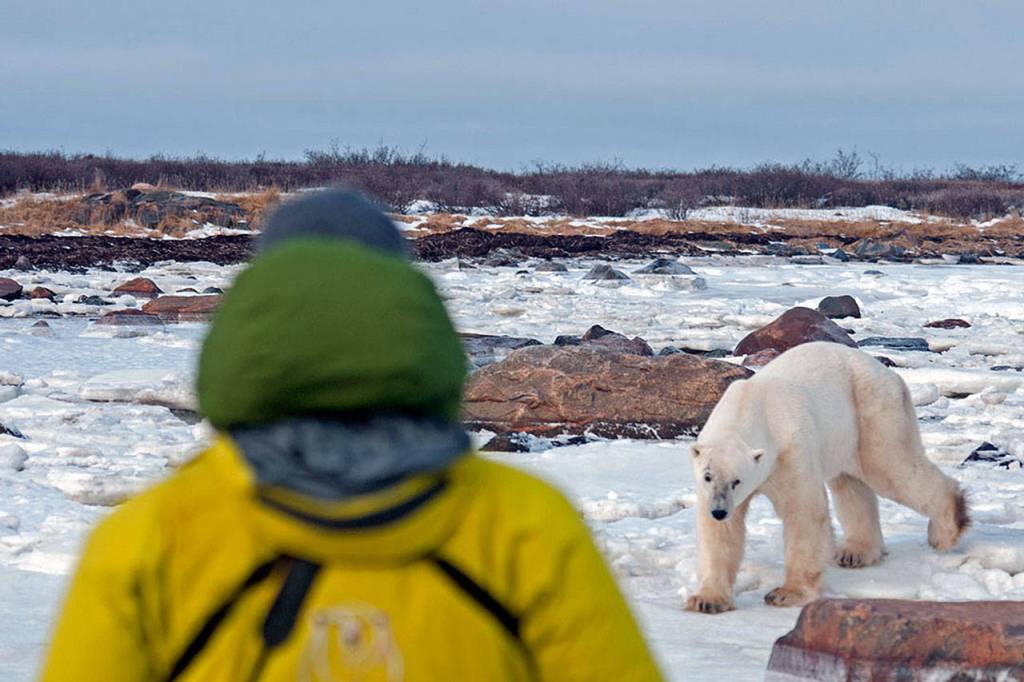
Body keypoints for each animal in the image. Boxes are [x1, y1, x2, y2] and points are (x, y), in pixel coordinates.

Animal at [685, 341, 970, 614]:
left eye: (737, 481)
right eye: (708, 476)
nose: (719, 511)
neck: (750, 406)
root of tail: (893, 376)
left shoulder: (791, 450)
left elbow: (803, 512)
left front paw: (786, 593)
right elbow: (721, 533)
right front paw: (707, 600)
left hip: (871, 411)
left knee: (891, 467)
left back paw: (946, 529)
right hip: (846, 434)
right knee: (851, 484)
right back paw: (855, 552)